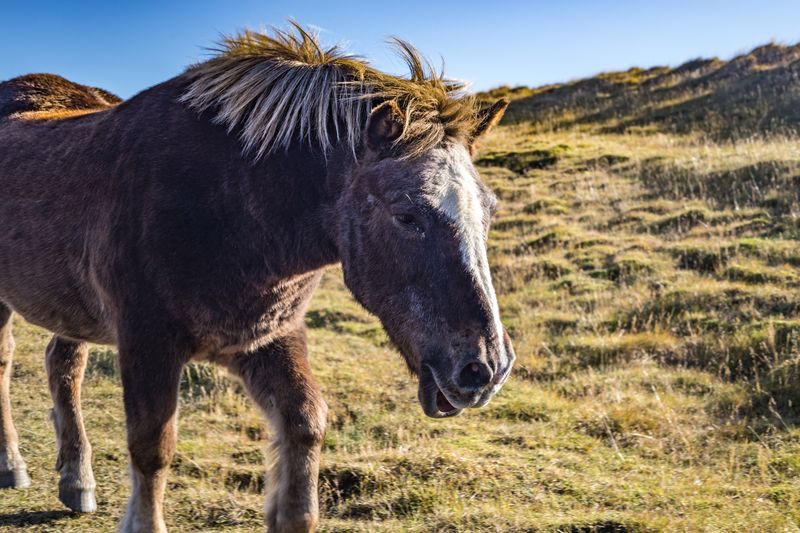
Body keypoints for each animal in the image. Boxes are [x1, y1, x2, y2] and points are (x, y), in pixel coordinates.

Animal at [0, 24, 514, 532]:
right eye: (407, 216)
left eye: (489, 211)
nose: (485, 368)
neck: (230, 205)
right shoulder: (148, 343)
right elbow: (152, 448)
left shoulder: (268, 337)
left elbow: (306, 424)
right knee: (8, 361)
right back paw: (13, 466)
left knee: (63, 366)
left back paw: (76, 481)